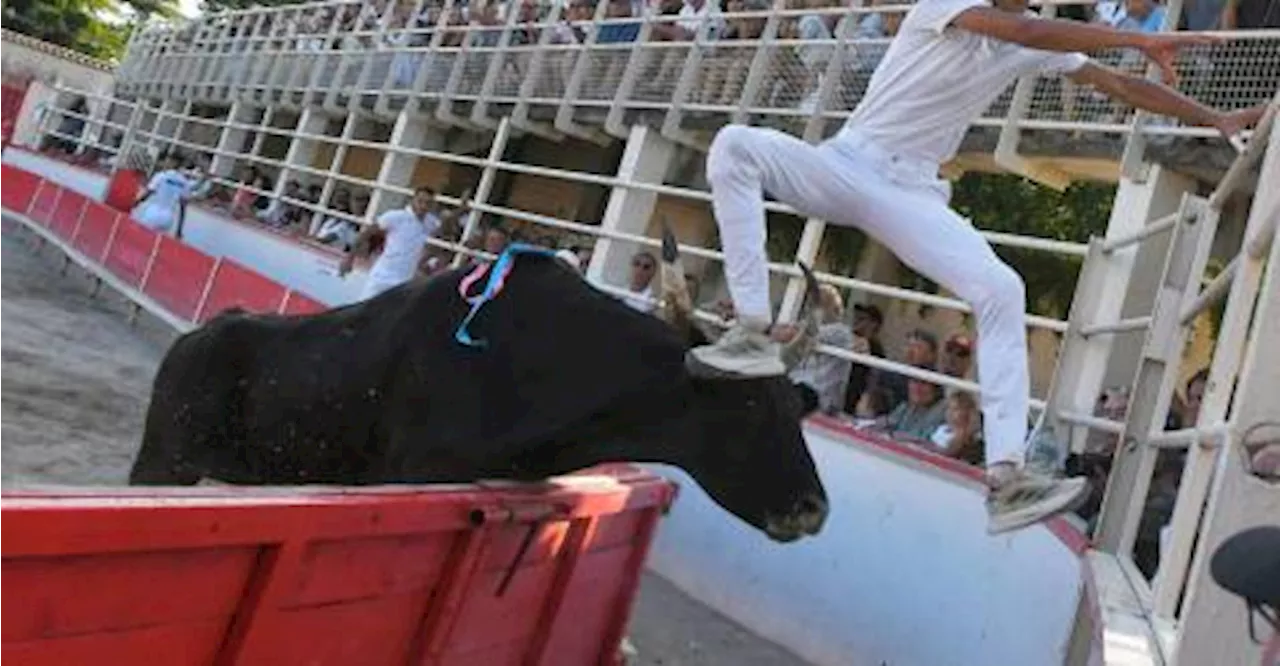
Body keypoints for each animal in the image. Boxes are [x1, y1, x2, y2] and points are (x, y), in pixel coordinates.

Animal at [129, 244, 829, 540]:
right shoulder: (410, 478)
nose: (812, 509)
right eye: (743, 408)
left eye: (794, 409)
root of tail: (196, 337)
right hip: (161, 461)